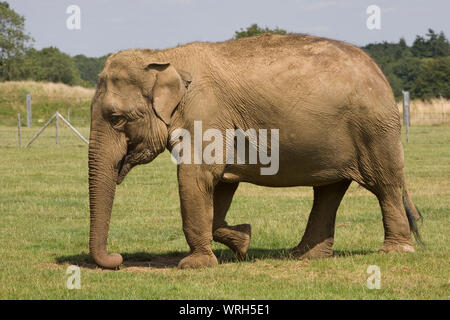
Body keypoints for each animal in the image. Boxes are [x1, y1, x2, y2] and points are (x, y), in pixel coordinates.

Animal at [89, 33, 422, 268]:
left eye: (116, 118)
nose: (118, 259)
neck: (162, 56)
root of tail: (380, 72)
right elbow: (219, 185)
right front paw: (244, 241)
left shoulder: (205, 114)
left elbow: (196, 177)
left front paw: (195, 265)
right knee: (328, 190)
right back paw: (304, 256)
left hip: (374, 130)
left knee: (385, 185)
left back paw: (395, 252)